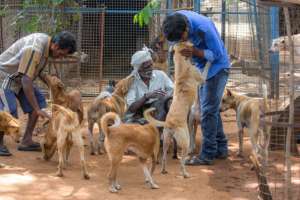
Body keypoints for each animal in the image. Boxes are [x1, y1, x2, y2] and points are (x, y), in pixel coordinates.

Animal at [144, 41, 205, 178]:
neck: (182, 68)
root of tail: (169, 123)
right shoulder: (201, 79)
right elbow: (207, 70)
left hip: (166, 140)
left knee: (163, 157)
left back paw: (163, 170)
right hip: (185, 141)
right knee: (182, 161)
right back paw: (185, 173)